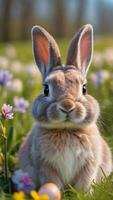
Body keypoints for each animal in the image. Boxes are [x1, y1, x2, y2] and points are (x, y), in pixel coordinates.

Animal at [18, 23, 112, 191]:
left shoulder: (89, 164)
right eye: (46, 89)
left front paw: (84, 193)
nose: (67, 106)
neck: (66, 129)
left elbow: (84, 181)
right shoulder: (46, 166)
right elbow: (53, 182)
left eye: (84, 88)